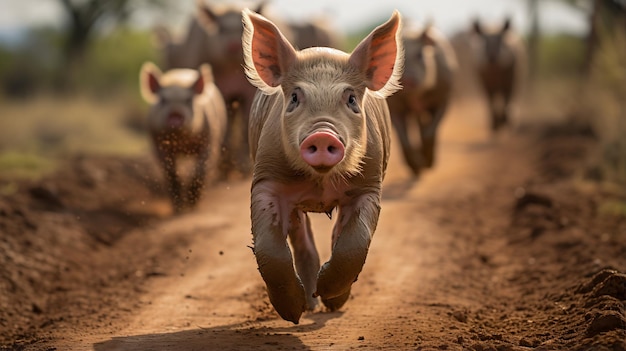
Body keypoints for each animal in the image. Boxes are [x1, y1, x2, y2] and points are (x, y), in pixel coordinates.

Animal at [139, 62, 227, 213]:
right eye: (163, 100)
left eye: (188, 100)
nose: (175, 114)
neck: (182, 142)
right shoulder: (157, 143)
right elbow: (171, 174)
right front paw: (178, 210)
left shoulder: (210, 140)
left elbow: (201, 170)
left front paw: (193, 207)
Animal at [386, 22, 458, 176]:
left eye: (419, 55)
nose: (407, 80)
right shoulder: (394, 108)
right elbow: (403, 139)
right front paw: (416, 168)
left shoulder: (443, 98)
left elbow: (430, 130)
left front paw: (428, 163)